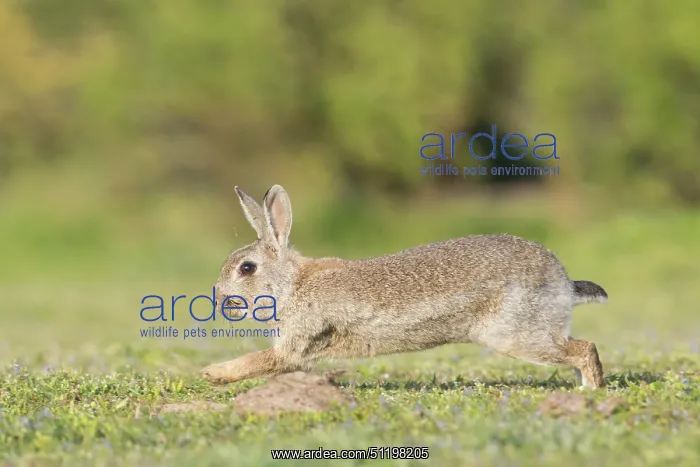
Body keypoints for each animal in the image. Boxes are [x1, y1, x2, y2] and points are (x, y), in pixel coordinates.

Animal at [201, 184, 608, 389]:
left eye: (247, 268)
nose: (221, 303)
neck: (291, 284)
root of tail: (561, 279)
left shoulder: (298, 342)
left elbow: (263, 361)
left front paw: (213, 373)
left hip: (514, 334)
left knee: (584, 349)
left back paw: (591, 393)